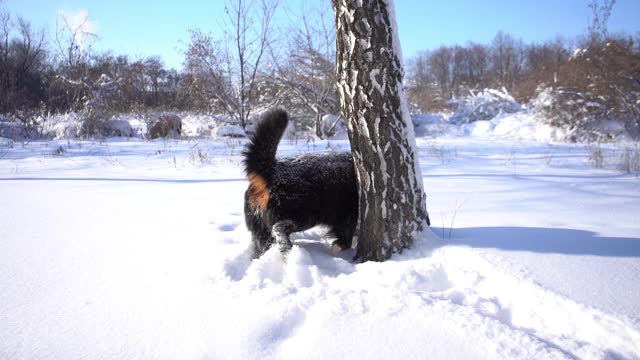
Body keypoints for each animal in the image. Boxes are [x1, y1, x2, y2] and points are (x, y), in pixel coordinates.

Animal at [242, 108, 358, 258]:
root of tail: (272, 170)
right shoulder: (348, 215)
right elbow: (346, 237)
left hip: (260, 229)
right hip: (304, 214)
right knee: (279, 228)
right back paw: (289, 249)